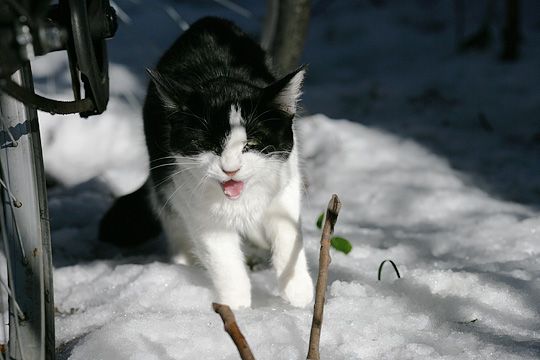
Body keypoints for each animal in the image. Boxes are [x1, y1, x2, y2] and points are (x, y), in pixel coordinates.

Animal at [99, 17, 314, 310]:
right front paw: (236, 309)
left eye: (252, 142)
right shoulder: (193, 203)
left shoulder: (285, 178)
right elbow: (225, 262)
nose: (230, 168)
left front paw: (298, 293)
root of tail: (208, 21)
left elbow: (287, 231)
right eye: (208, 144)